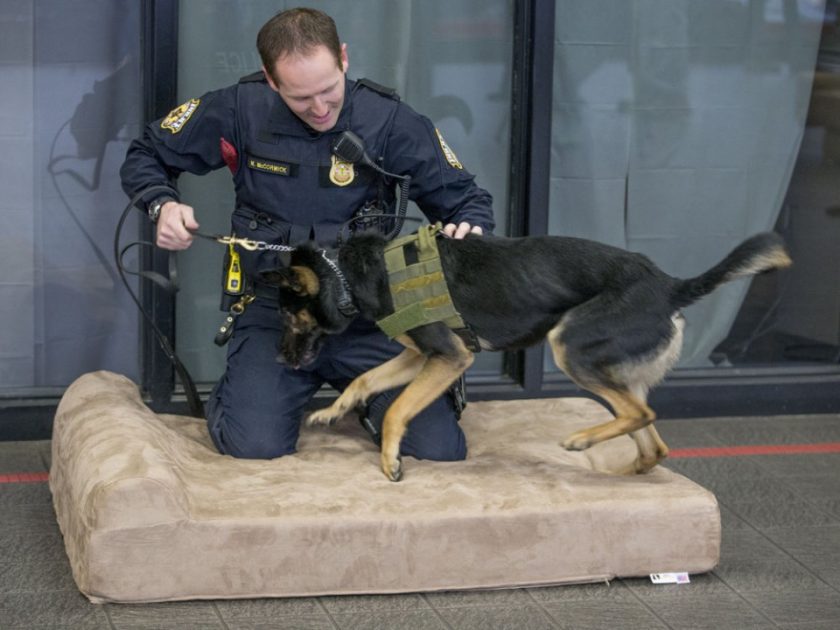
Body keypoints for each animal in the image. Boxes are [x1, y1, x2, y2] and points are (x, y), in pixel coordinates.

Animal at [260, 232, 788, 484]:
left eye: (285, 317)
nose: (280, 361)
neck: (349, 276)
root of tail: (671, 285)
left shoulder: (448, 358)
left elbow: (394, 410)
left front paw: (390, 462)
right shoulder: (420, 358)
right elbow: (365, 381)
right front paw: (334, 410)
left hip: (571, 346)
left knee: (642, 414)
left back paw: (581, 440)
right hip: (613, 369)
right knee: (652, 439)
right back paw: (622, 476)